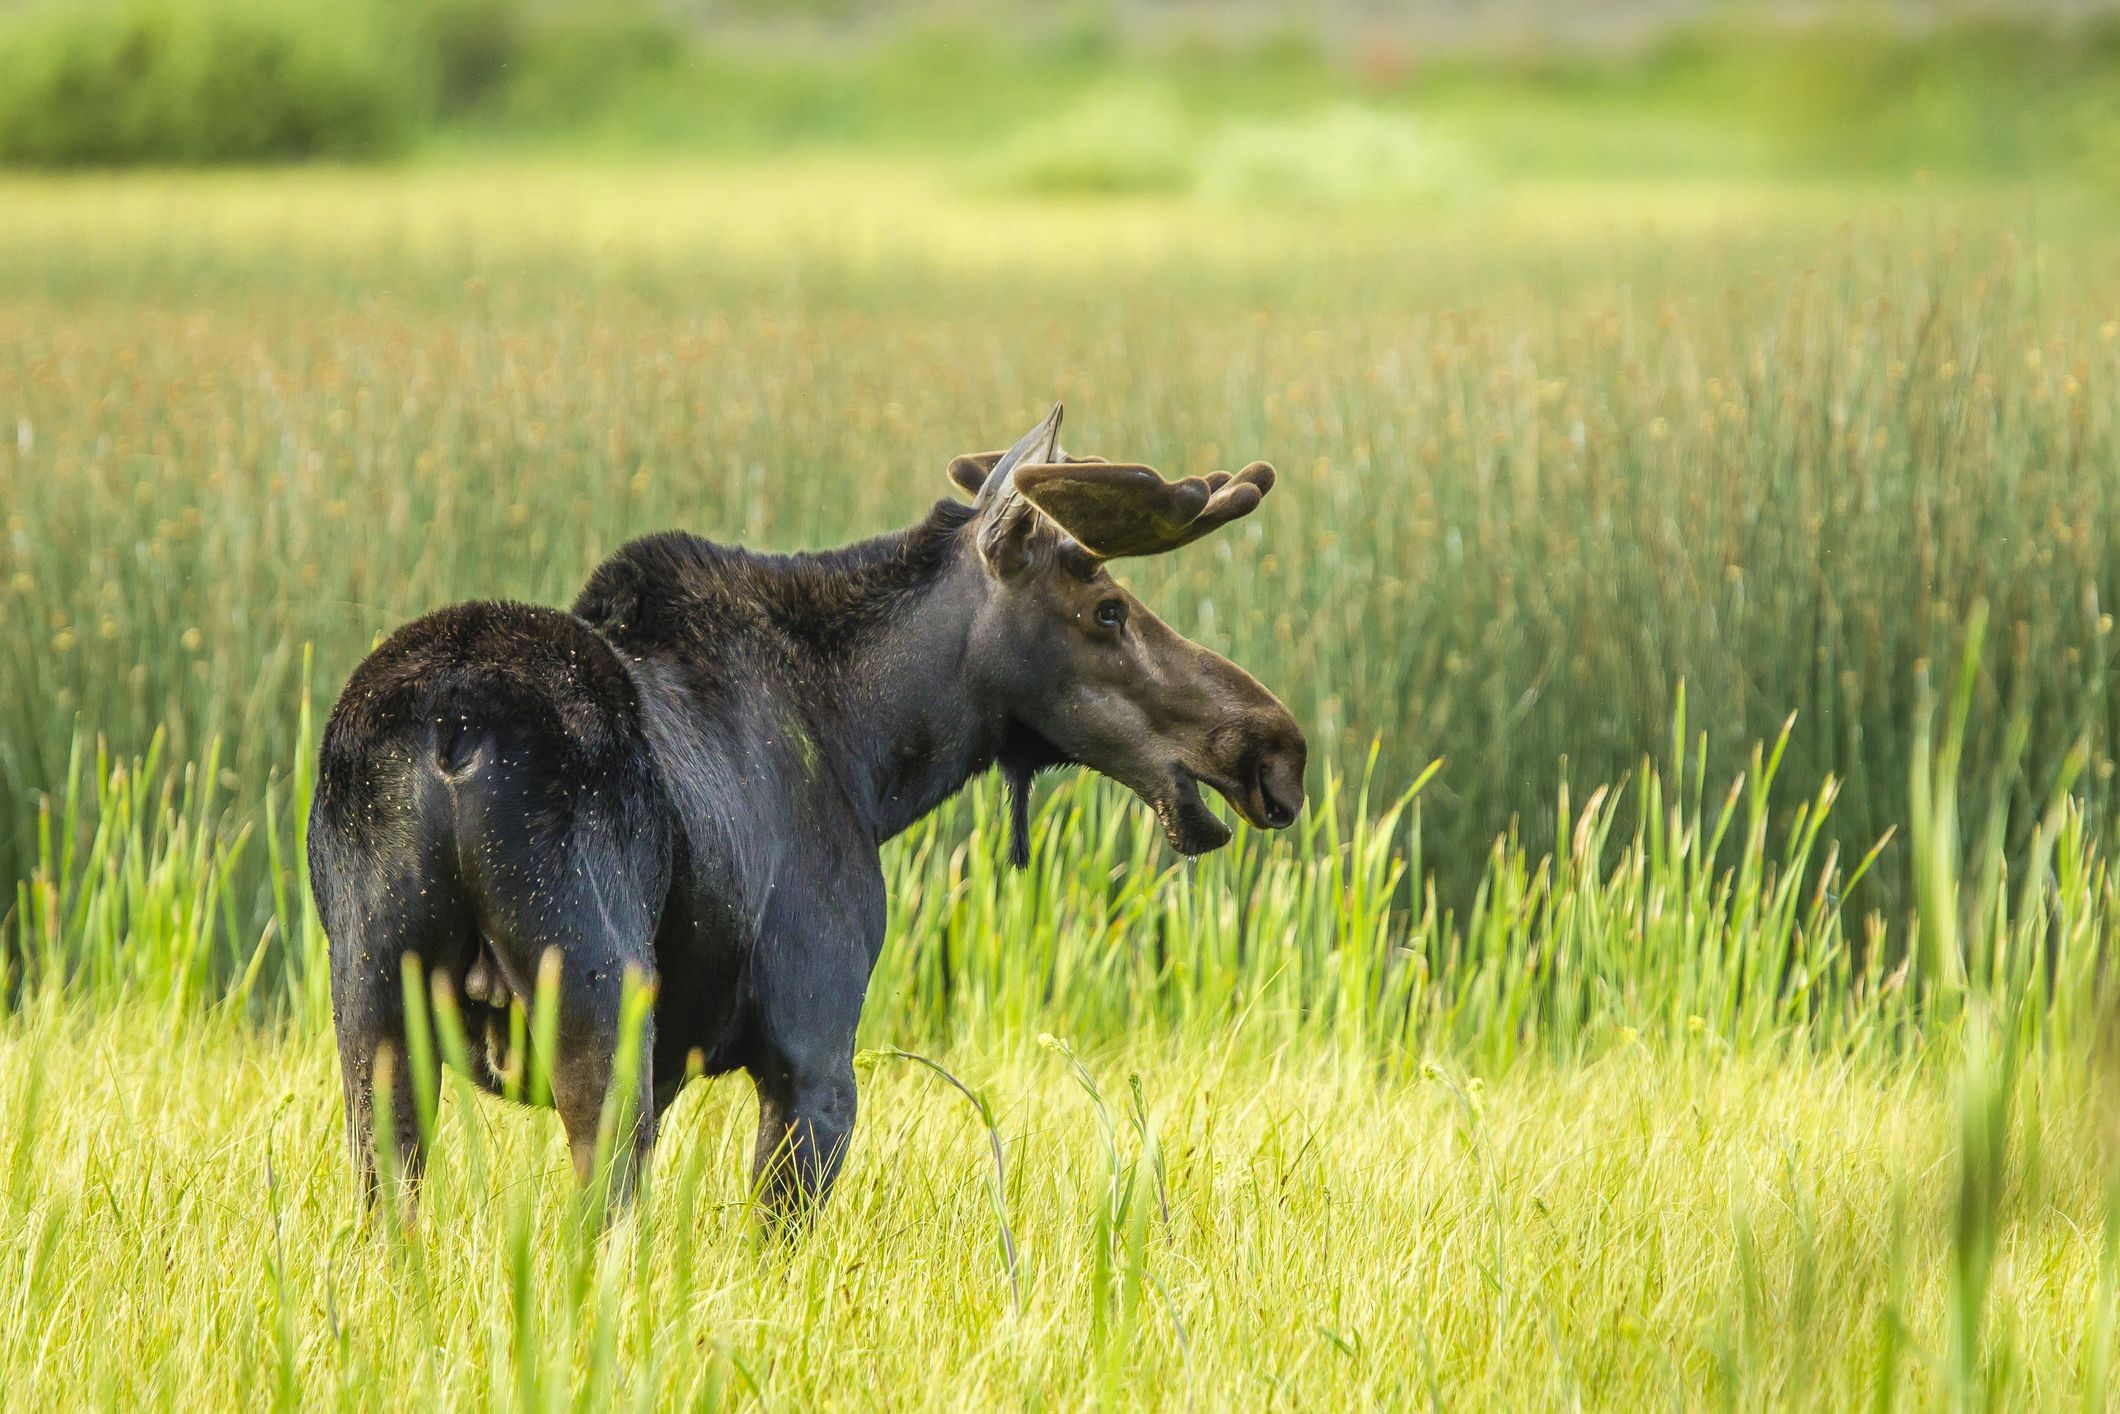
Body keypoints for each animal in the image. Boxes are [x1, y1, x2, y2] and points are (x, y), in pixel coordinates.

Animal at [311, 402, 1305, 1221]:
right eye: (1107, 610)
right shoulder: (814, 1051)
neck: (875, 758)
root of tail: (450, 735)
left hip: (373, 1000)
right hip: (596, 992)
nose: (1275, 746)